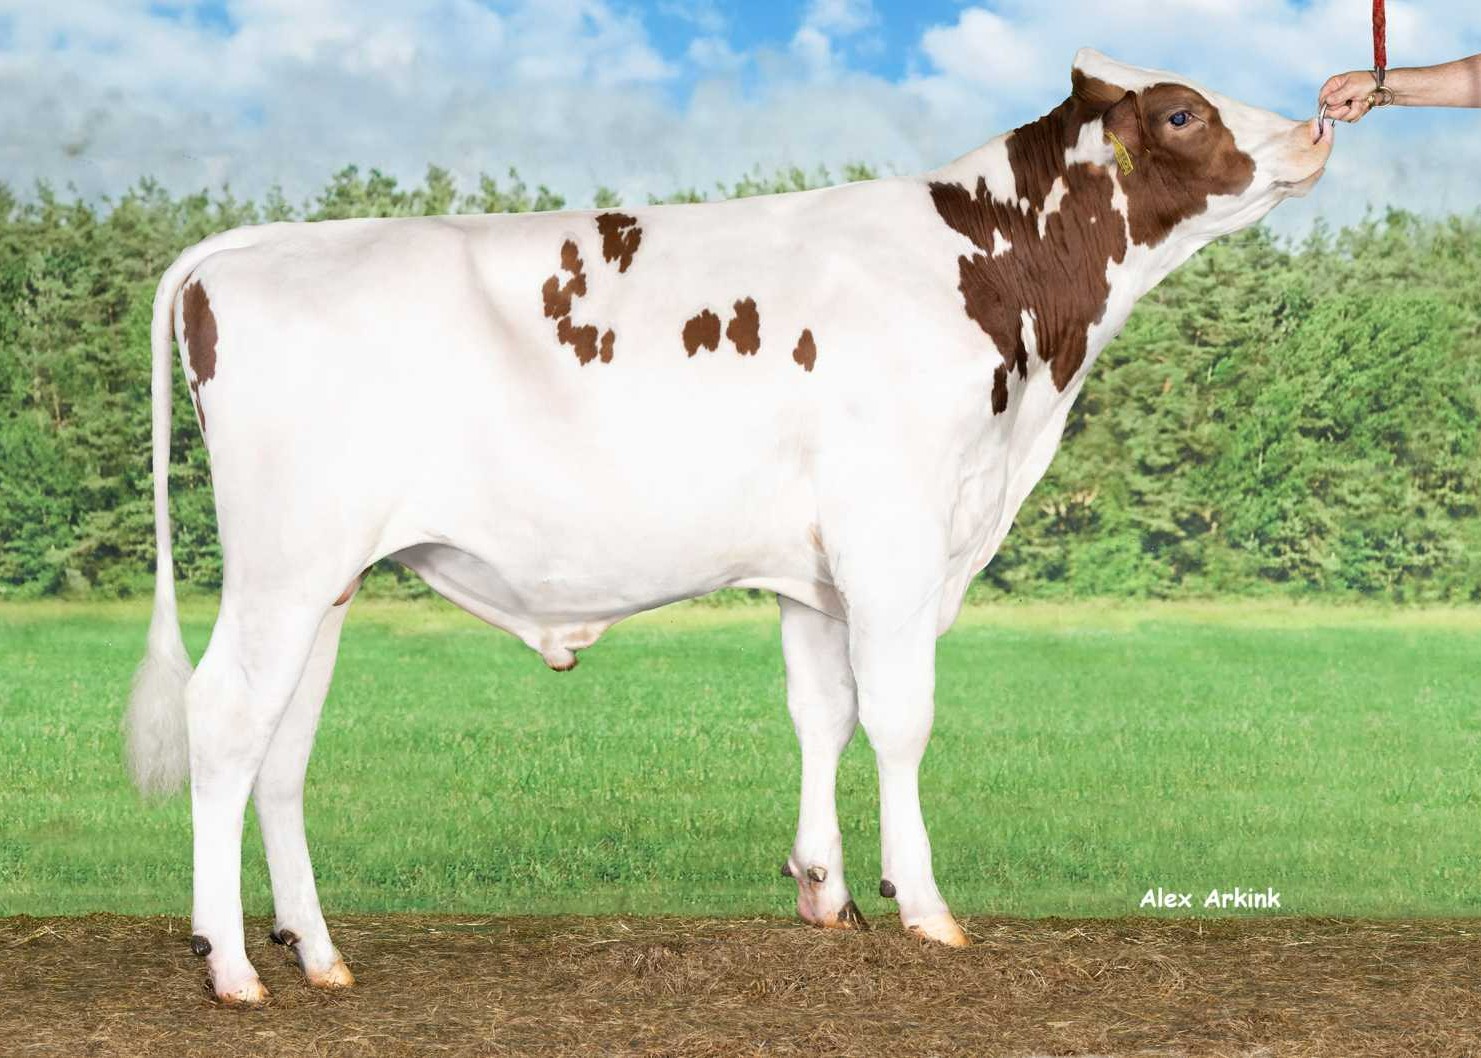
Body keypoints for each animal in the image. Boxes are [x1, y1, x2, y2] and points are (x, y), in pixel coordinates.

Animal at [126, 49, 1332, 1004]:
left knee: (282, 744)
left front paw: (823, 890)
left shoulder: (820, 568)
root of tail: (246, 249)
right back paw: (230, 966)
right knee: (225, 715)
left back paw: (317, 953)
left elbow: (822, 714)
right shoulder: (895, 530)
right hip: (286, 558)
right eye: (1179, 113)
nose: (1320, 125)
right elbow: (899, 717)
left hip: (324, 571)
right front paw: (922, 904)